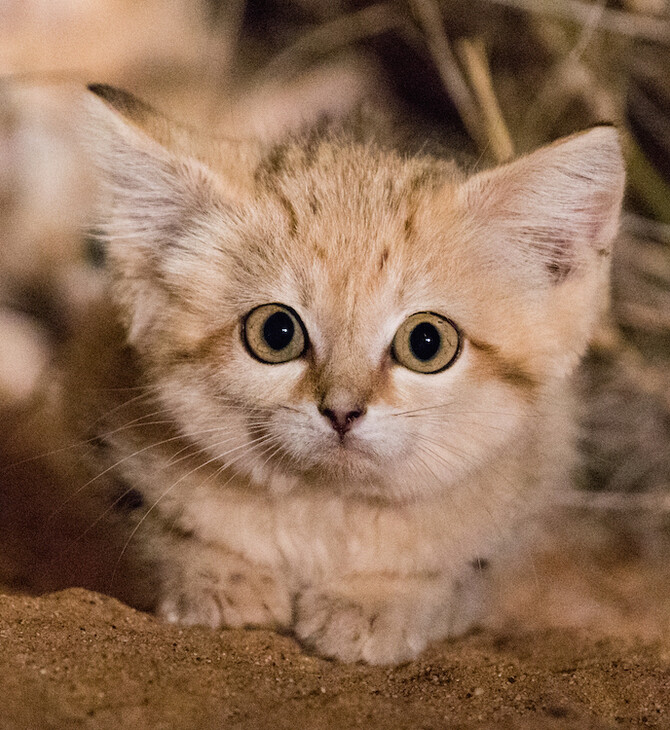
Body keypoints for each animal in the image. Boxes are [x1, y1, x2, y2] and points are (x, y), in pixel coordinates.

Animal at [56, 85, 624, 664]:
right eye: (276, 332)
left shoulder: (524, 497)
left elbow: (450, 574)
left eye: (427, 342)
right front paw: (219, 578)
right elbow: (161, 532)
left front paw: (375, 601)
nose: (342, 411)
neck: (325, 511)